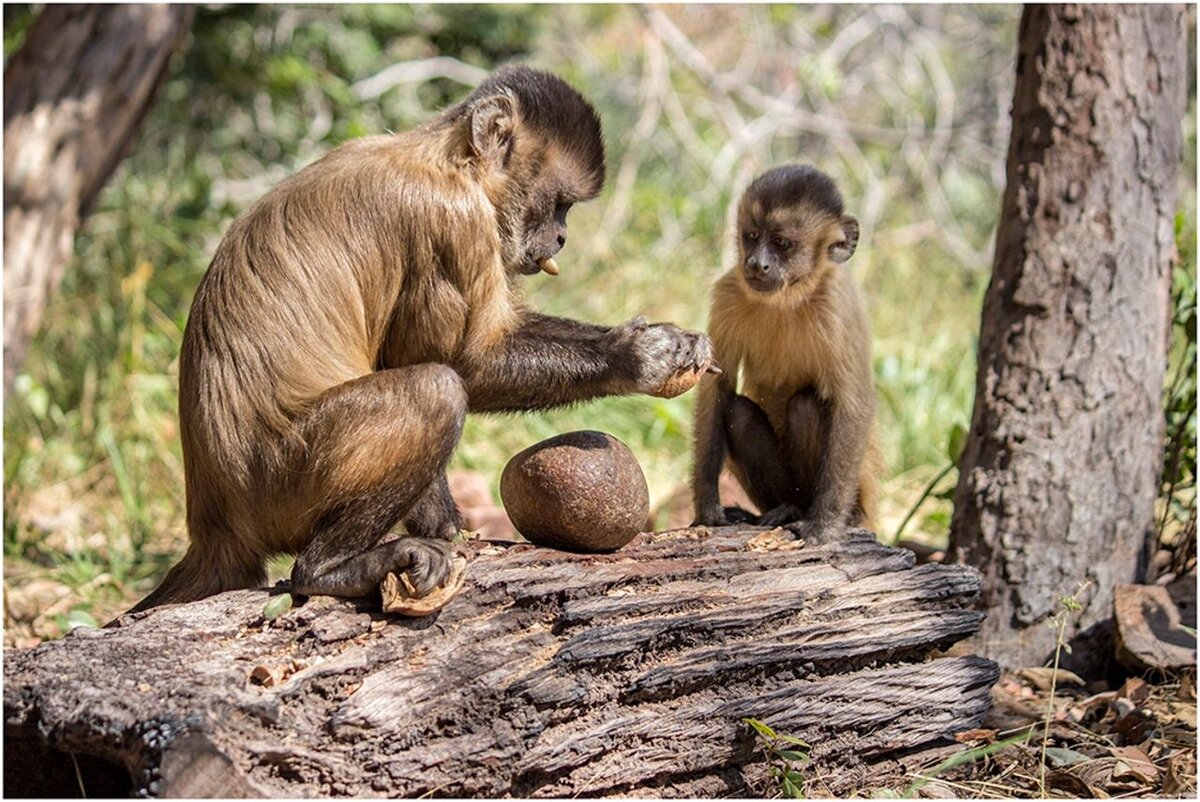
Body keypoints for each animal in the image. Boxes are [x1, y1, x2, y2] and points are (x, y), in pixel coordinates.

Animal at [129, 64, 710, 614]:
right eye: (560, 203)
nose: (563, 236)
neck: (447, 160)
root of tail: (214, 522)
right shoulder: (450, 220)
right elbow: (459, 364)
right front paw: (636, 357)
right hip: (280, 486)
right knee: (437, 387)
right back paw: (326, 571)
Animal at [691, 165, 878, 545]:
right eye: (751, 235)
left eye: (781, 243)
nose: (757, 264)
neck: (791, 295)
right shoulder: (729, 292)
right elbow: (717, 389)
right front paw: (707, 508)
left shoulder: (837, 303)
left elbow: (855, 405)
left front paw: (825, 526)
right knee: (739, 412)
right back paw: (784, 508)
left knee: (806, 405)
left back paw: (816, 513)